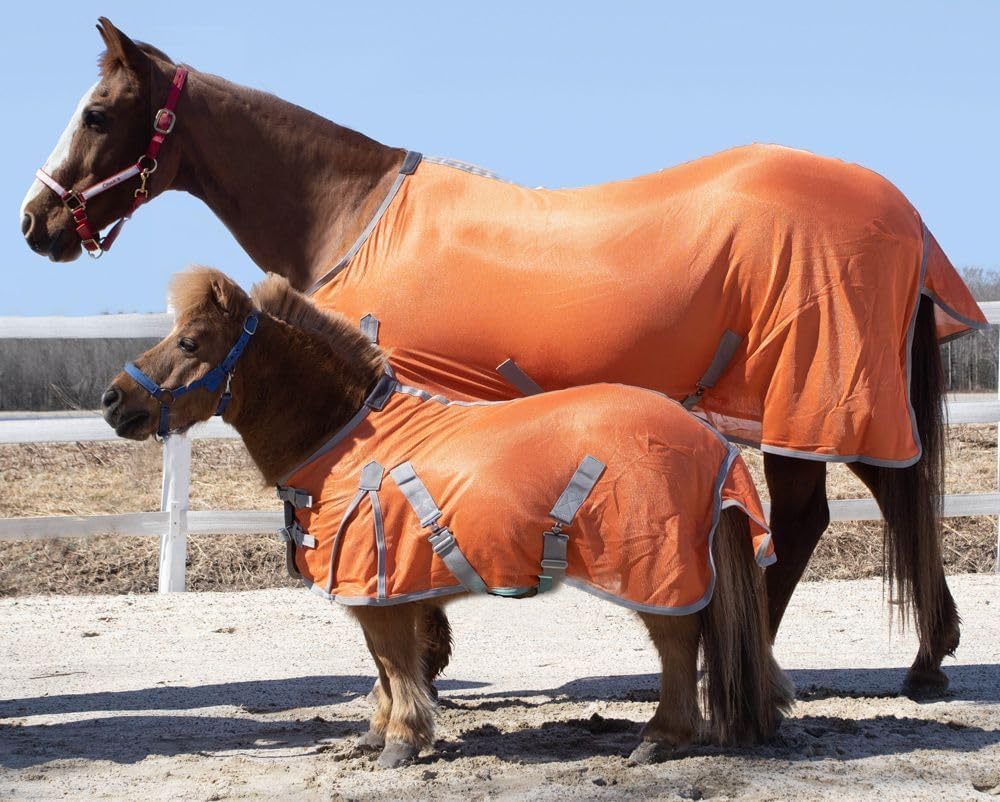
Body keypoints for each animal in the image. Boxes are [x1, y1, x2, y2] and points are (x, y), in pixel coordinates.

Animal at [22, 18, 987, 698]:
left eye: (98, 113)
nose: (36, 221)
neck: (351, 213)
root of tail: (898, 212)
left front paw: (426, 657)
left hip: (816, 397)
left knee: (837, 511)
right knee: (864, 507)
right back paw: (918, 657)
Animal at [100, 267, 793, 767]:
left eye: (190, 342)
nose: (112, 400)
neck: (347, 438)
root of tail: (712, 440)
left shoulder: (378, 588)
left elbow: (394, 661)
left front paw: (401, 741)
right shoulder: (386, 593)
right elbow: (387, 664)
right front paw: (378, 733)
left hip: (656, 575)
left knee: (678, 644)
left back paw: (660, 738)